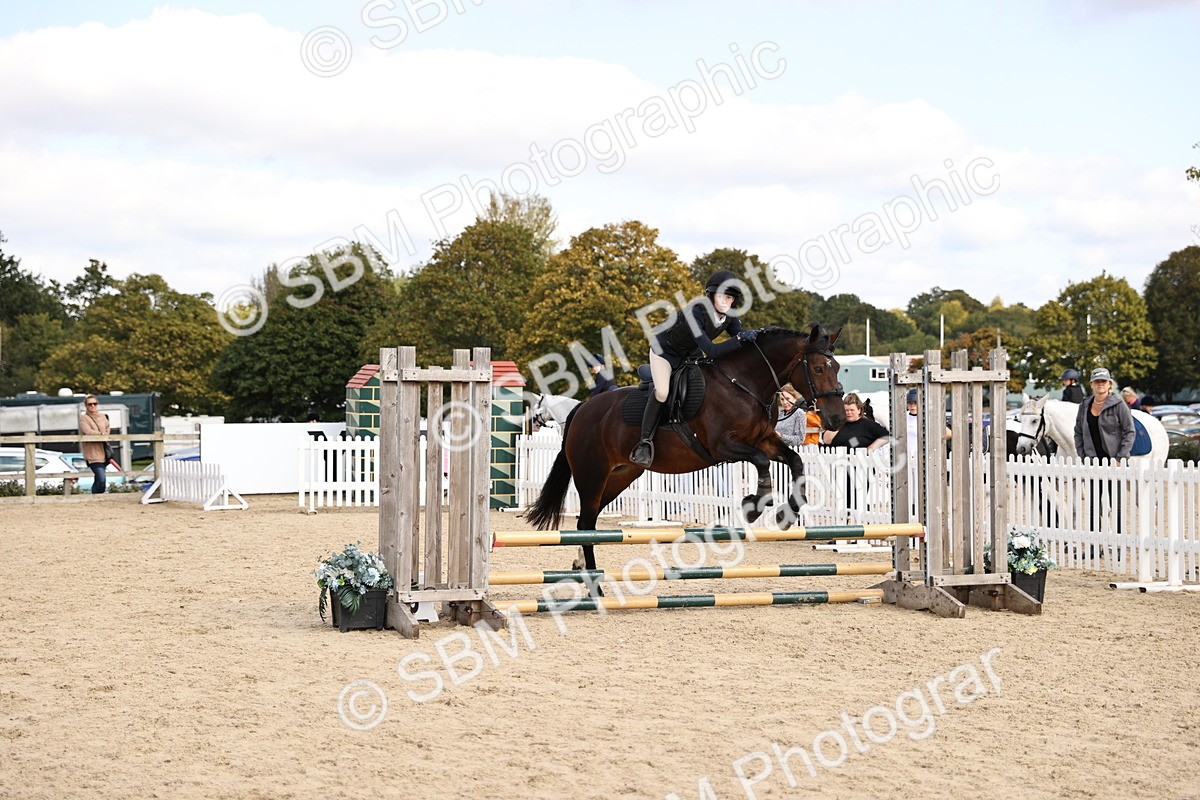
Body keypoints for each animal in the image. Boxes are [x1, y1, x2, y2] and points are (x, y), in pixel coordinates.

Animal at [525, 324, 846, 577]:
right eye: (818, 368)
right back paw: (595, 585)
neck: (744, 384)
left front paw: (787, 514)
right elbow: (762, 462)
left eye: (838, 368)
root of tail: (582, 409)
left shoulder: (764, 439)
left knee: (588, 523)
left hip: (620, 475)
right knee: (584, 521)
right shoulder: (724, 446)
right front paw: (754, 505)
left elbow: (795, 461)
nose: (837, 419)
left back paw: (582, 566)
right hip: (591, 474)